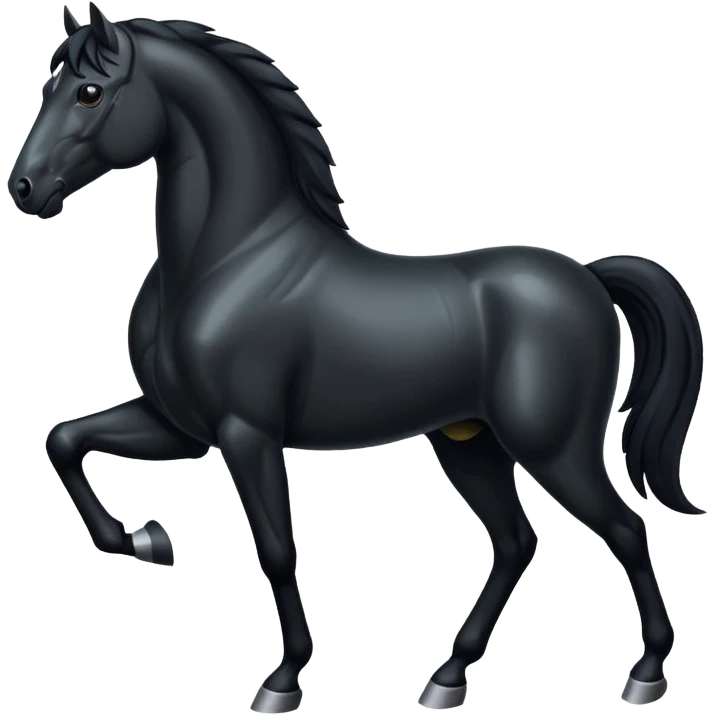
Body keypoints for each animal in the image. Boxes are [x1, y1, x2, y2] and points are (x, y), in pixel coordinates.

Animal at [17, 5, 705, 712]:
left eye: (89, 92)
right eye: (49, 86)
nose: (24, 189)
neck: (228, 259)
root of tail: (590, 278)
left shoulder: (246, 433)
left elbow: (276, 550)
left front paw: (283, 680)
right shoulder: (179, 426)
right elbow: (64, 441)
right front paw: (149, 542)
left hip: (553, 447)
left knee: (625, 529)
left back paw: (645, 673)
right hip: (469, 442)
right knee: (516, 542)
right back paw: (447, 678)